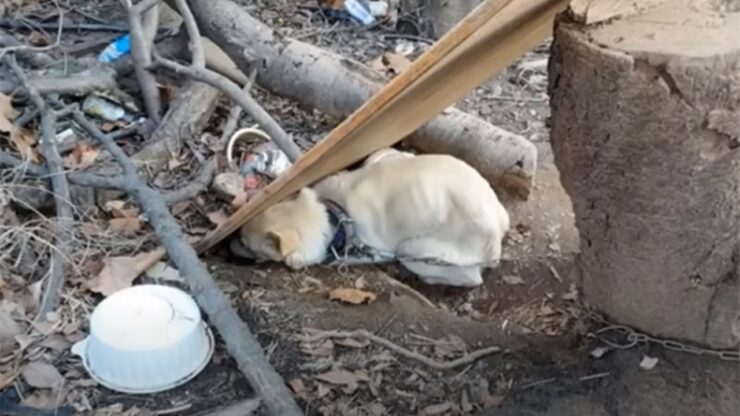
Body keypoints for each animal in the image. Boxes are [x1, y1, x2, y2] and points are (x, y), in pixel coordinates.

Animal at [236, 148, 508, 288]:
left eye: (250, 247)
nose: (230, 246)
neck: (332, 214)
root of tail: (497, 223)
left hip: (411, 250)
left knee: (470, 279)